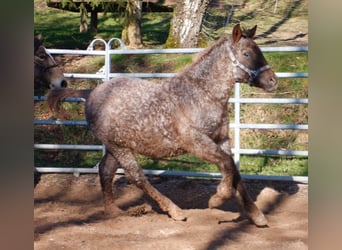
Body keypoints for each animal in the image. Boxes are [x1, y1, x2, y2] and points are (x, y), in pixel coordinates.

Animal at [47, 23, 278, 227]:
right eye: (246, 53)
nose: (273, 81)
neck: (201, 95)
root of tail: (91, 93)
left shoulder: (221, 140)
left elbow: (234, 171)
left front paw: (256, 216)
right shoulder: (197, 143)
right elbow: (228, 165)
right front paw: (218, 198)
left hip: (116, 147)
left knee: (105, 171)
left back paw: (116, 212)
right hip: (120, 149)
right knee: (137, 177)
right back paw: (174, 211)